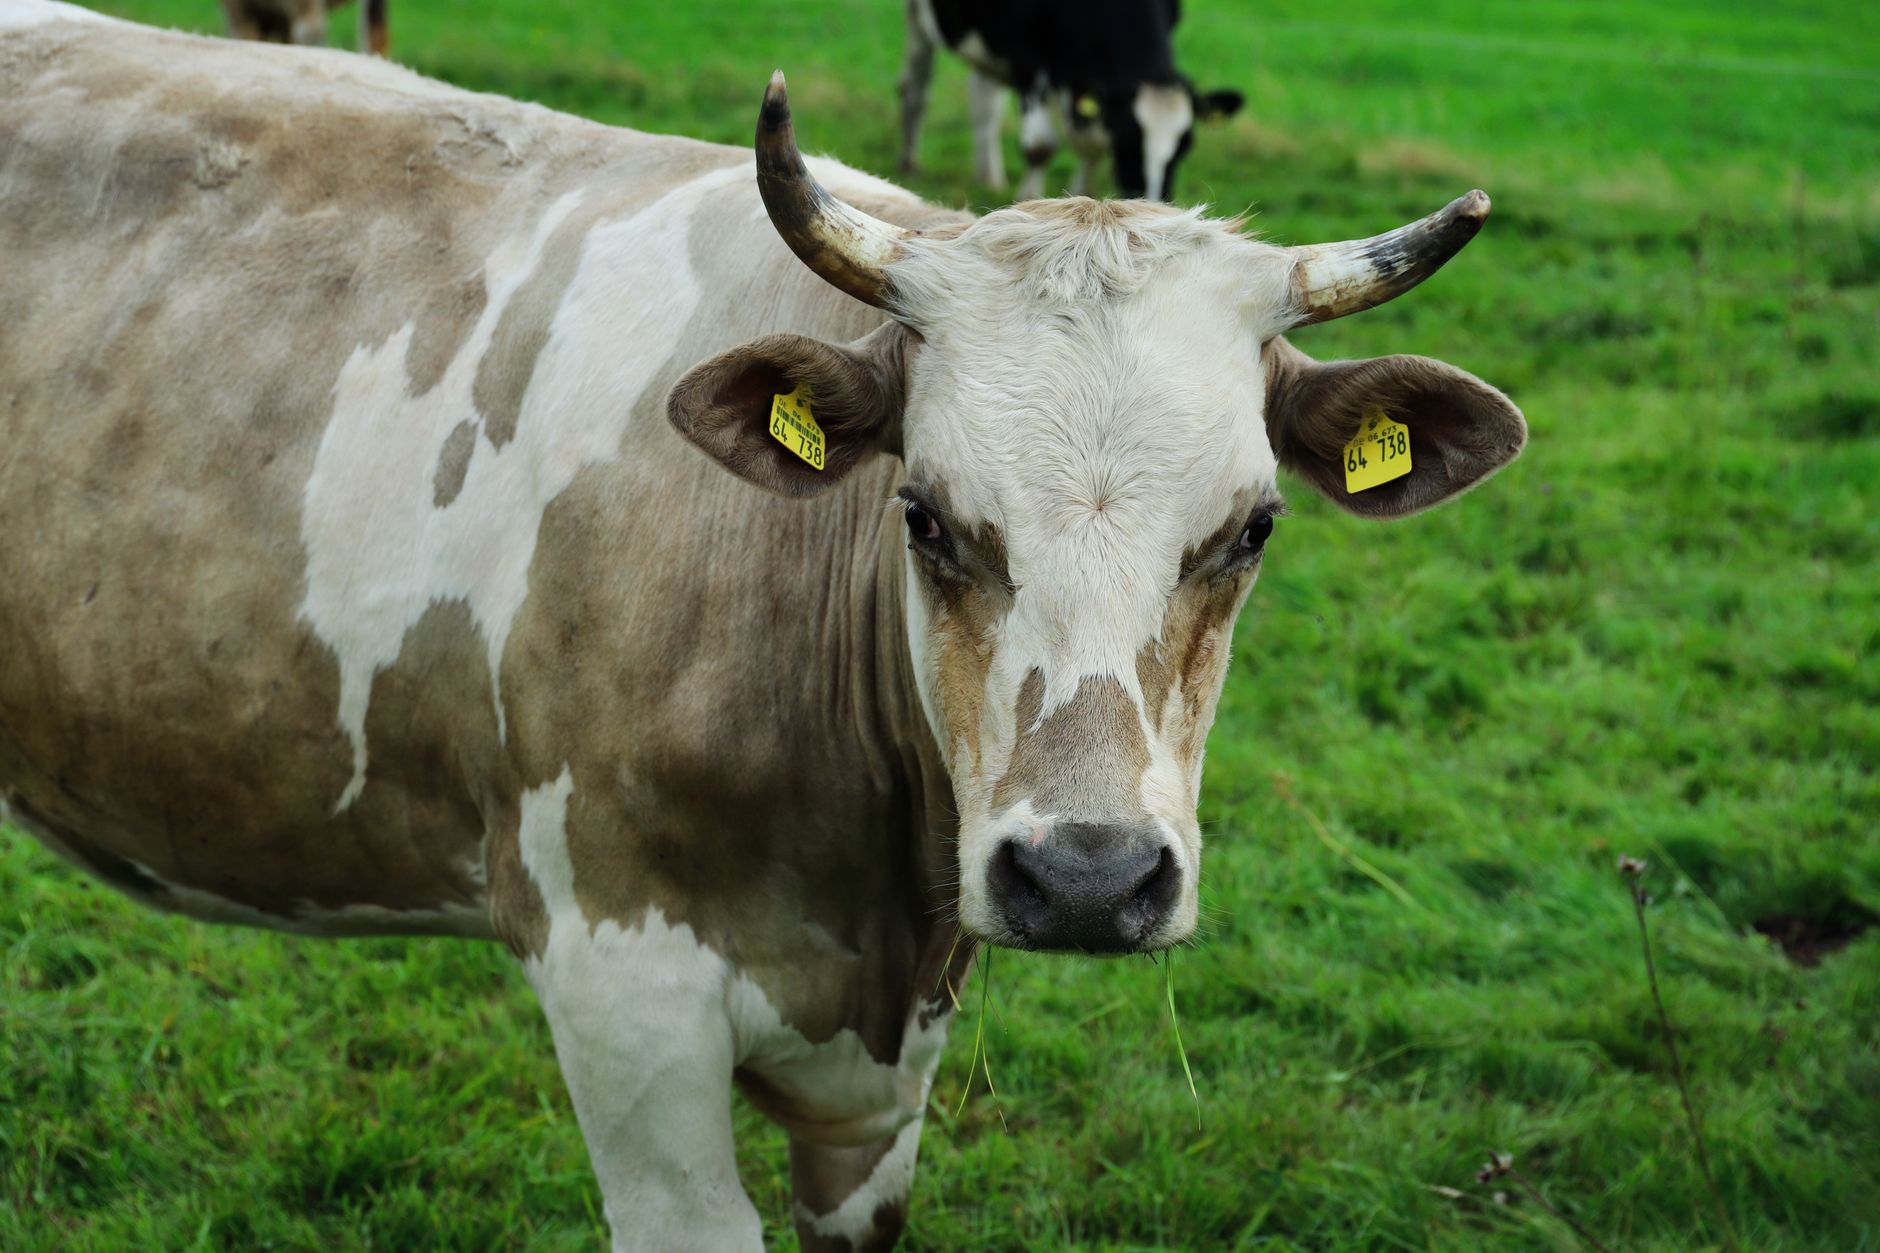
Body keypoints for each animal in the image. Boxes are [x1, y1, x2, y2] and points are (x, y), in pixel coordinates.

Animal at [898, 0, 1244, 200]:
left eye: (1185, 146)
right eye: (1128, 141)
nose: (1154, 202)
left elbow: (1092, 145)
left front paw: (1083, 199)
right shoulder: (1027, 55)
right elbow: (1040, 148)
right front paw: (1029, 201)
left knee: (984, 104)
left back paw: (988, 178)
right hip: (918, 20)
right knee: (914, 91)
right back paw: (910, 164)